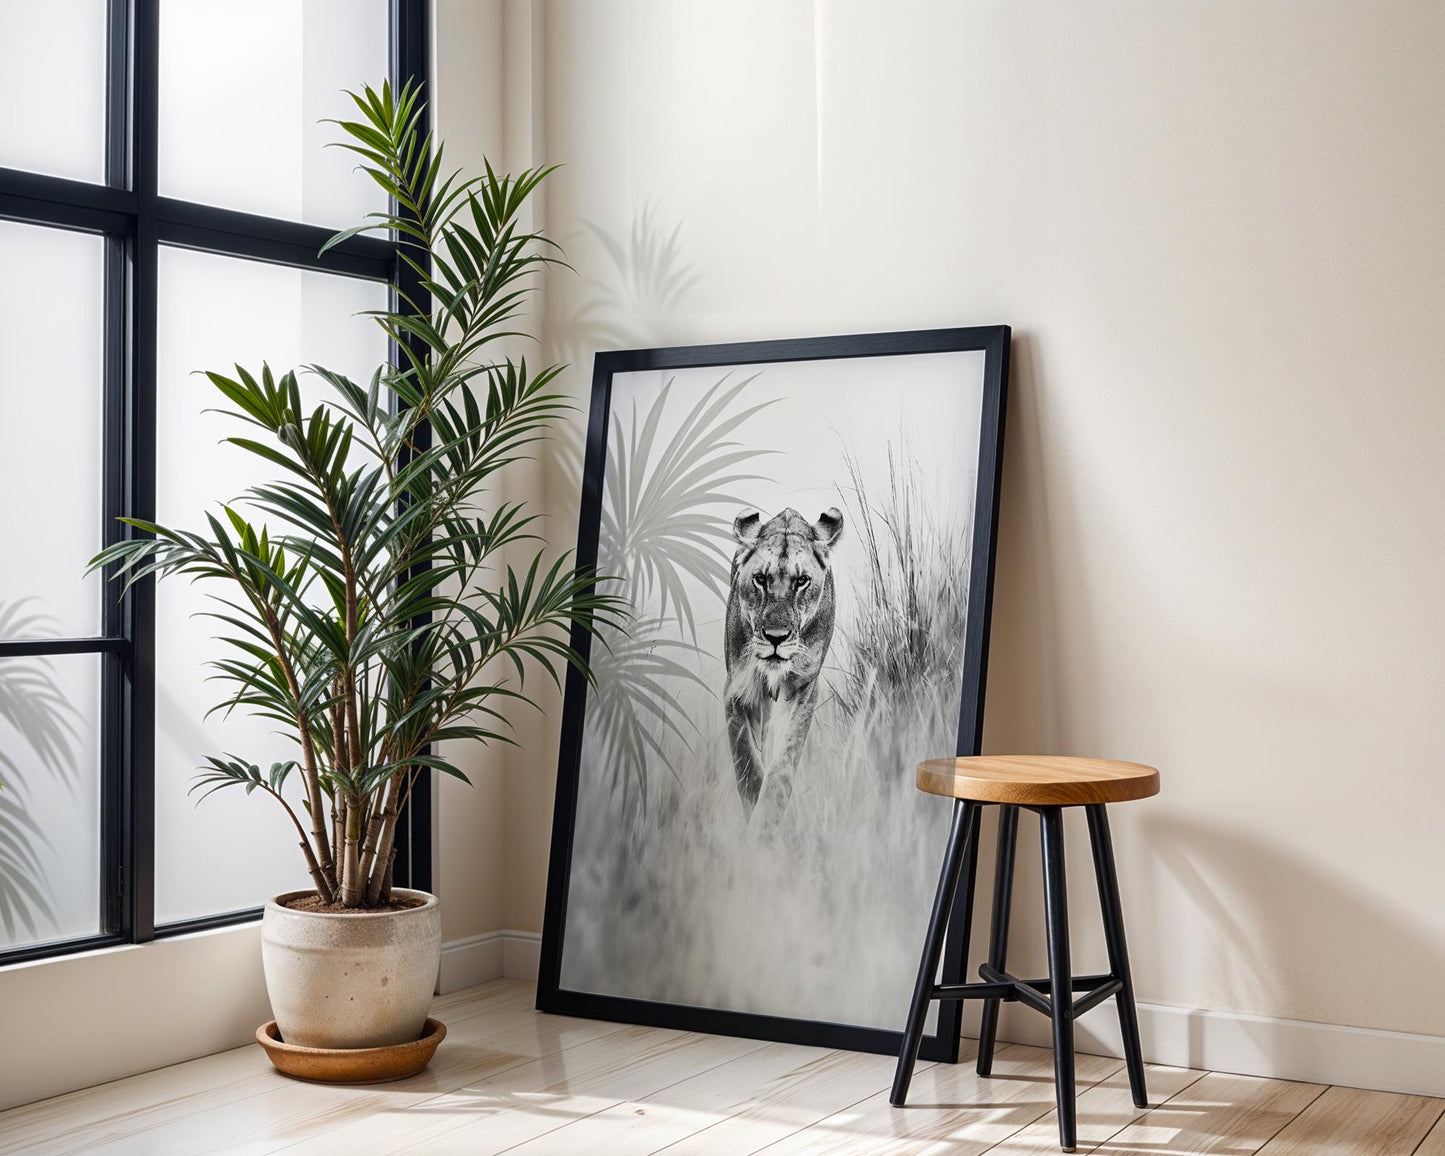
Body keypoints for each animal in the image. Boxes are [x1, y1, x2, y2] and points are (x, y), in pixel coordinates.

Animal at [724, 505, 844, 813]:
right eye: (760, 579)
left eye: (801, 581)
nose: (775, 638)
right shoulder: (736, 689)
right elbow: (746, 763)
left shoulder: (804, 688)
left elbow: (782, 765)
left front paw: (767, 819)